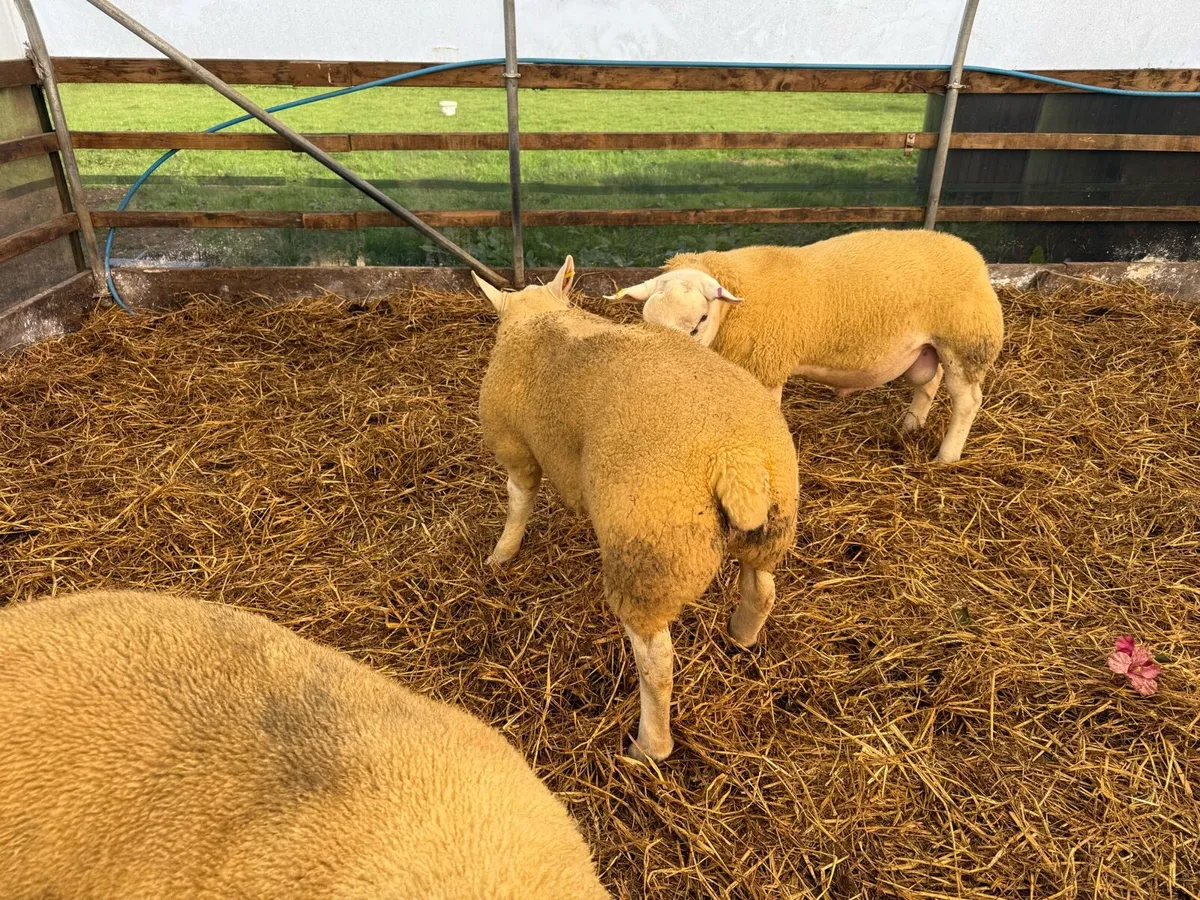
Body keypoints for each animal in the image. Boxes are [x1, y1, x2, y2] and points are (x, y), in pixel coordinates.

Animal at [472, 256, 798, 763]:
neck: (538, 319)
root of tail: (736, 459)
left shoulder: (514, 447)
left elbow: (519, 500)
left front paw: (501, 555)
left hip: (649, 557)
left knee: (658, 663)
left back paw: (647, 748)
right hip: (771, 526)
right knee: (761, 590)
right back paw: (740, 638)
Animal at [609, 229, 1005, 463]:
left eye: (700, 321)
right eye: (646, 320)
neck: (735, 311)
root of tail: (973, 255)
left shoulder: (766, 367)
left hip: (966, 343)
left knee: (967, 401)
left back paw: (946, 457)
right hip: (929, 347)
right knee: (928, 384)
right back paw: (909, 428)